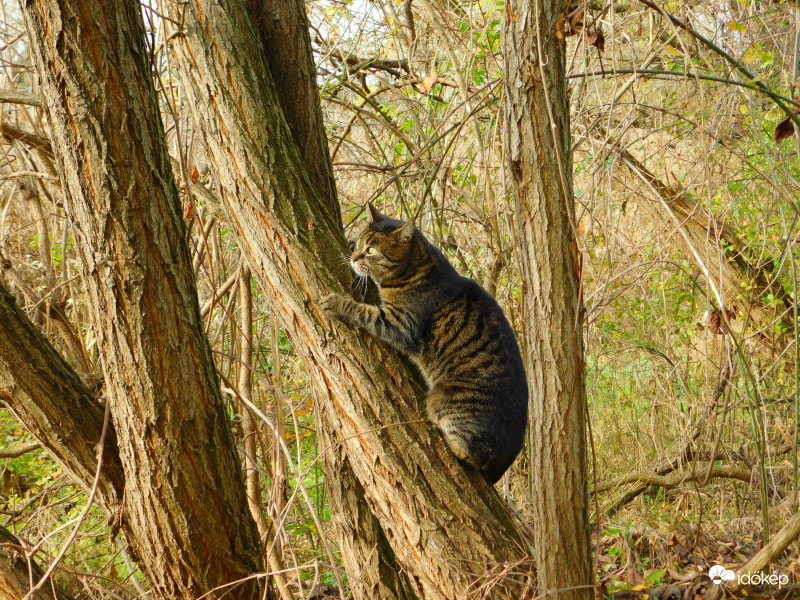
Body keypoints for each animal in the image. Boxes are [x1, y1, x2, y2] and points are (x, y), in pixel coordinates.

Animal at [322, 204, 528, 486]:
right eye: (361, 244)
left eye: (371, 250)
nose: (353, 258)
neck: (420, 265)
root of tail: (512, 451)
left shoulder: (400, 324)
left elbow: (364, 312)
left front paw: (337, 303)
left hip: (445, 399)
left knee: (472, 454)